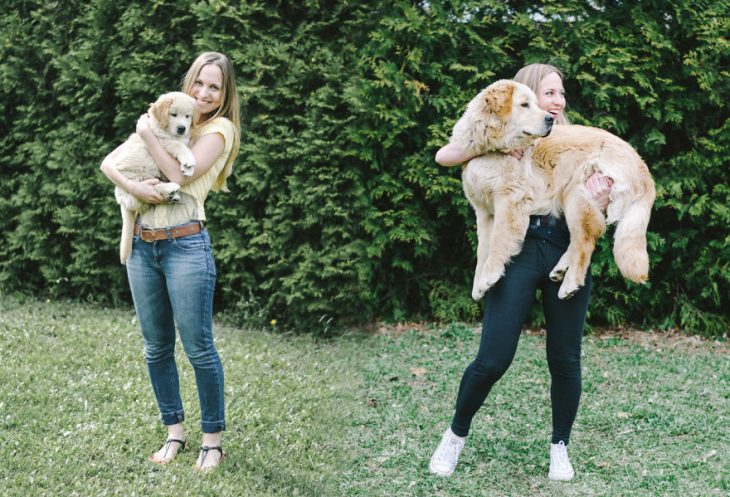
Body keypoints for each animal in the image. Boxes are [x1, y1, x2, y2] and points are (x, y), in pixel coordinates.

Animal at [111, 91, 196, 266]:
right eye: (173, 114)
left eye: (188, 116)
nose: (182, 128)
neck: (164, 128)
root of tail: (123, 202)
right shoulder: (163, 143)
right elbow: (179, 146)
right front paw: (188, 161)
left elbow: (185, 144)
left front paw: (187, 166)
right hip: (137, 177)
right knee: (151, 189)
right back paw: (170, 189)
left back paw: (172, 195)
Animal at [452, 79, 652, 300]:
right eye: (525, 105)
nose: (549, 119)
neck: (491, 147)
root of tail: (641, 164)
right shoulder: (484, 212)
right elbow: (482, 249)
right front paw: (478, 285)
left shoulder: (510, 199)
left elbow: (498, 240)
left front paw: (489, 276)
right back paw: (561, 269)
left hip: (578, 197)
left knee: (585, 241)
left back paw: (570, 283)